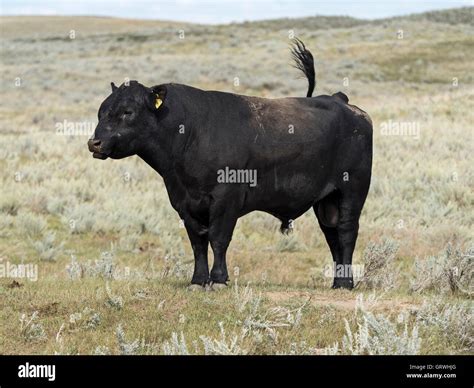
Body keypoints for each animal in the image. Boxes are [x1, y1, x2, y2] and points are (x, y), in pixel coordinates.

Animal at [87, 45, 372, 290]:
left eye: (127, 111)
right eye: (101, 111)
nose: (94, 142)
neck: (190, 132)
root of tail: (340, 100)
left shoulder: (226, 198)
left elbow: (218, 238)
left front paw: (218, 279)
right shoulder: (184, 202)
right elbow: (197, 241)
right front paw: (198, 280)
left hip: (352, 190)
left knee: (346, 232)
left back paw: (346, 283)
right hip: (326, 201)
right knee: (332, 235)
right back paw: (337, 281)